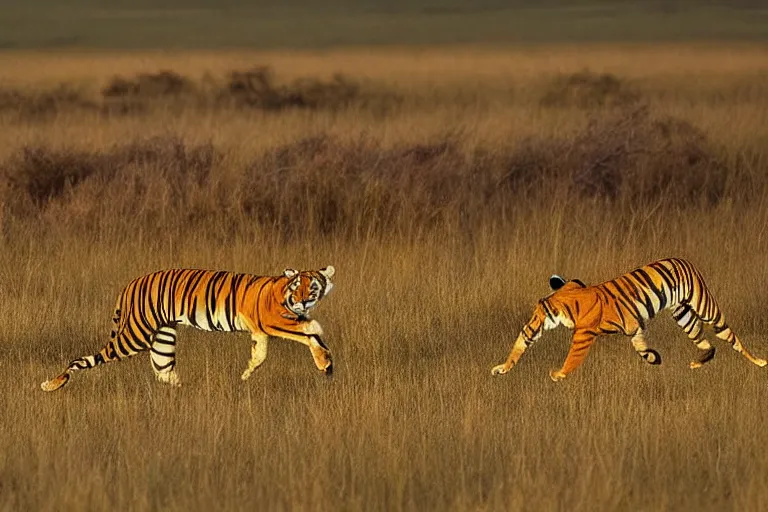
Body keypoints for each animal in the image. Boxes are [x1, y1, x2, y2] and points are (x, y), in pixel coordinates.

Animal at [41, 266, 336, 390]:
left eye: (312, 287)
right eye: (297, 288)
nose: (304, 301)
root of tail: (131, 283)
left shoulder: (260, 332)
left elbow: (259, 355)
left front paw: (245, 375)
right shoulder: (273, 321)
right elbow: (309, 332)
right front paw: (324, 361)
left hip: (162, 339)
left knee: (163, 371)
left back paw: (185, 393)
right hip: (134, 335)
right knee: (83, 359)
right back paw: (52, 384)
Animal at [492, 258, 768, 382]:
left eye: (537, 316)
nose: (528, 329)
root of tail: (685, 261)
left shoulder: (583, 336)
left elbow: (572, 358)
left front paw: (557, 374)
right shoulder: (634, 327)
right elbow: (641, 345)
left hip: (706, 307)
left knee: (730, 337)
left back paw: (760, 361)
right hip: (683, 316)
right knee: (706, 343)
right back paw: (697, 363)